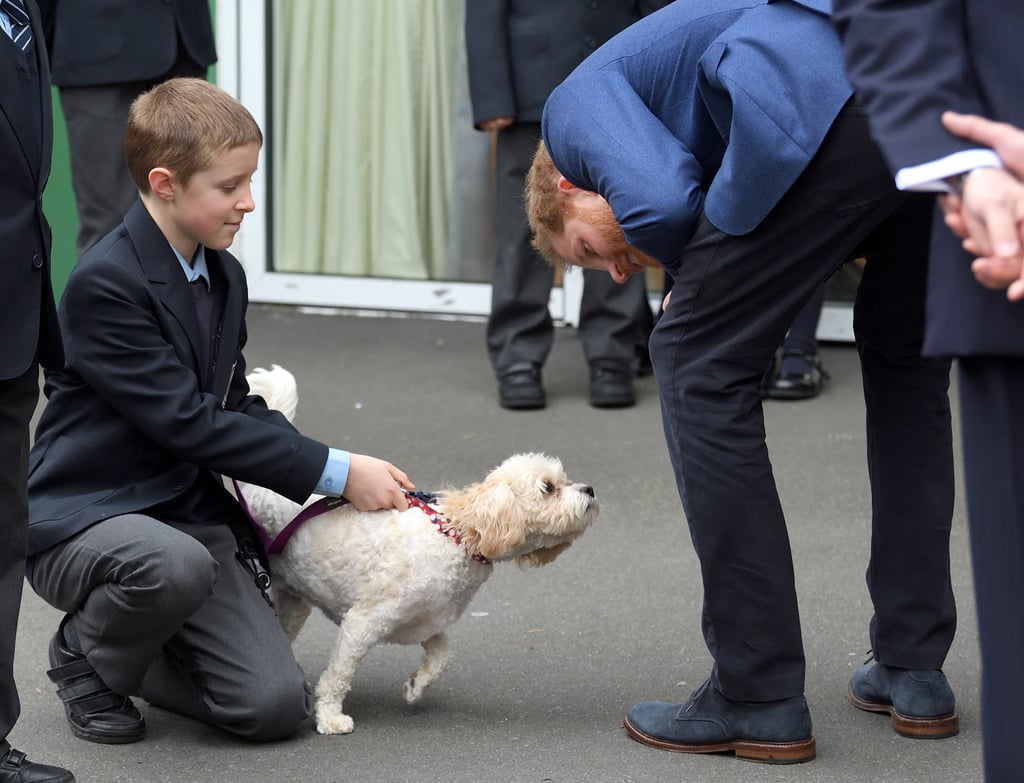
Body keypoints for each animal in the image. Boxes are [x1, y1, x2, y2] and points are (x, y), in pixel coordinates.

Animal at [237, 366, 598, 732]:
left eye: (565, 480)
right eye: (548, 488)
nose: (590, 490)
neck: (455, 537)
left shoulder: (424, 623)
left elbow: (442, 654)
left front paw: (417, 684)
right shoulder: (362, 623)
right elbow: (338, 675)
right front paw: (330, 717)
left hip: (293, 605)